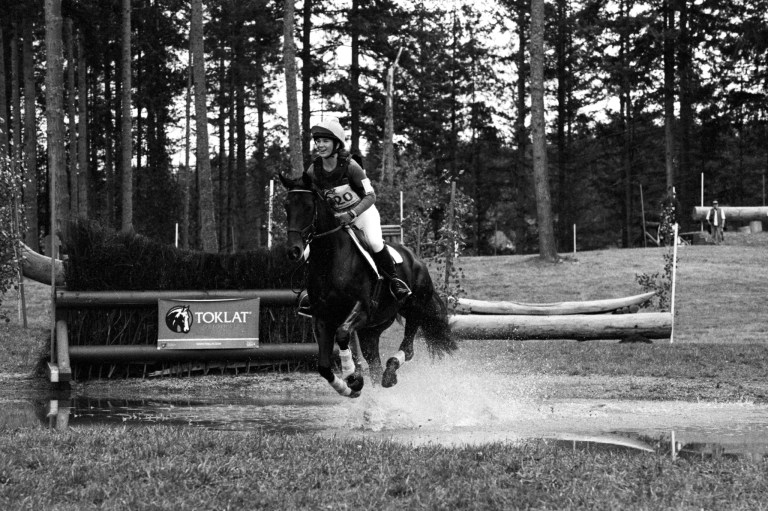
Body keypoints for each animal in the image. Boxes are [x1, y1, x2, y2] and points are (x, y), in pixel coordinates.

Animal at [281, 173, 457, 398]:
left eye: (308, 206)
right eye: (286, 206)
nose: (293, 251)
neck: (330, 259)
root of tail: (416, 259)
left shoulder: (362, 309)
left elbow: (343, 334)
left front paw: (353, 378)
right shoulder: (322, 317)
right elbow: (324, 366)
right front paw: (348, 387)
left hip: (415, 309)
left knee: (407, 349)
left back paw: (390, 372)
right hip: (372, 329)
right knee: (375, 363)